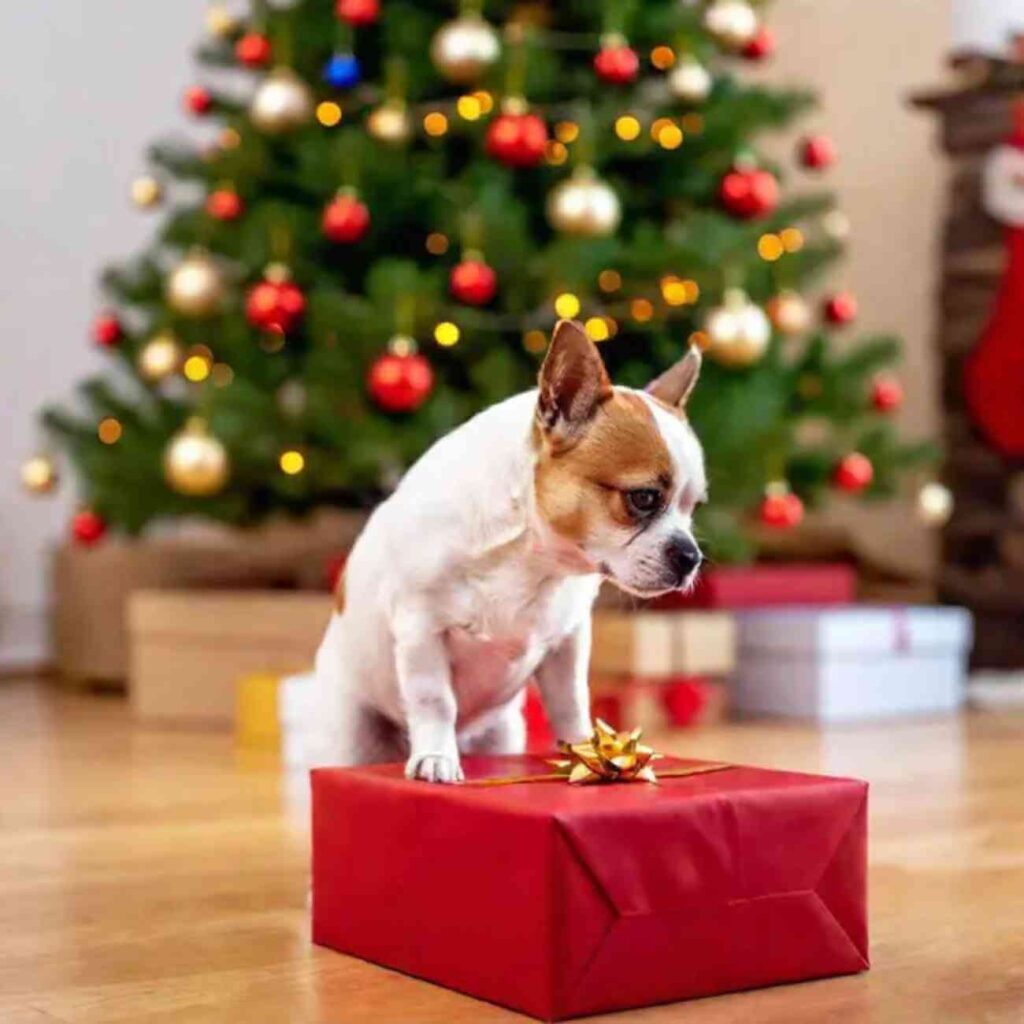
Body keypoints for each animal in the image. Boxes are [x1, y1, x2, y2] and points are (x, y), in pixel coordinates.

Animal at [307, 321, 704, 782]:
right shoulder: (421, 630)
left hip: (501, 733)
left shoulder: (566, 644)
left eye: (692, 509)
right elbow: (435, 700)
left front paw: (591, 751)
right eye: (643, 498)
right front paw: (436, 756)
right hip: (353, 733)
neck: (533, 559)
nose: (691, 556)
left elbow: (571, 702)